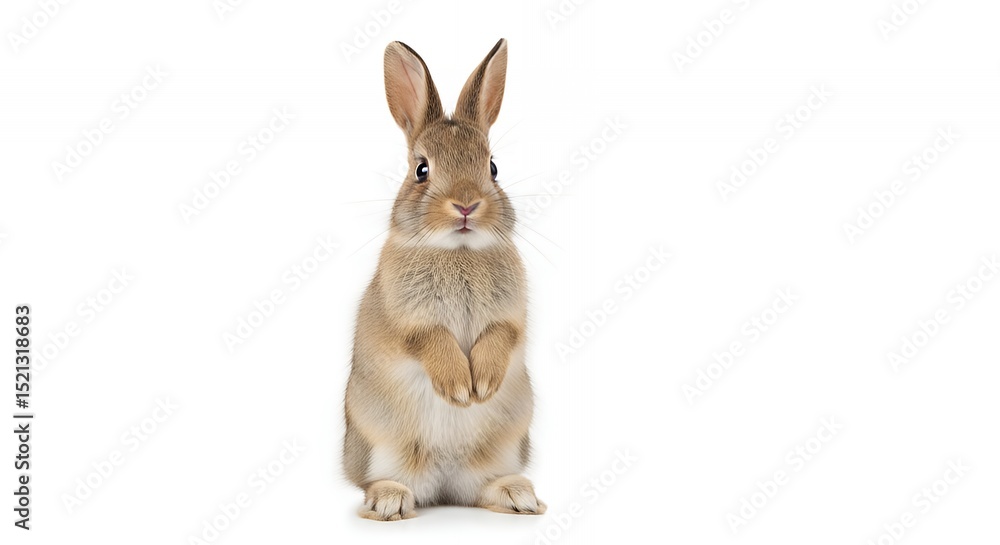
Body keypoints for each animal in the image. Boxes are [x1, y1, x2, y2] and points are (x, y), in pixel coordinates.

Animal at [342, 38, 545, 521]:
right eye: (422, 169)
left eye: (492, 167)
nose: (466, 205)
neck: (459, 252)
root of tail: (445, 481)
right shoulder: (408, 319)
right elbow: (429, 339)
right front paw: (458, 387)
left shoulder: (512, 315)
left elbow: (503, 334)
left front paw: (483, 383)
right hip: (382, 447)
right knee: (384, 483)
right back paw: (388, 502)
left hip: (501, 449)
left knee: (481, 489)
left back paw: (519, 496)